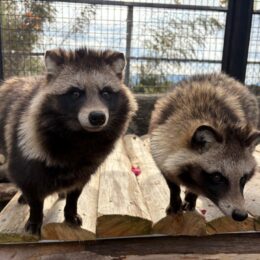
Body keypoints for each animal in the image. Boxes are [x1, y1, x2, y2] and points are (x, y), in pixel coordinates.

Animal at [0, 47, 138, 235]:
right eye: (75, 93)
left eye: (106, 93)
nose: (97, 117)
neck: (80, 136)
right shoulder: (24, 147)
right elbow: (32, 190)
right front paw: (35, 216)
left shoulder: (87, 166)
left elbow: (76, 190)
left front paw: (70, 209)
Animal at [148, 73, 260, 221]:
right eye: (217, 177)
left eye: (243, 178)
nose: (241, 215)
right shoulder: (159, 141)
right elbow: (171, 182)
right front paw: (175, 200)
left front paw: (191, 196)